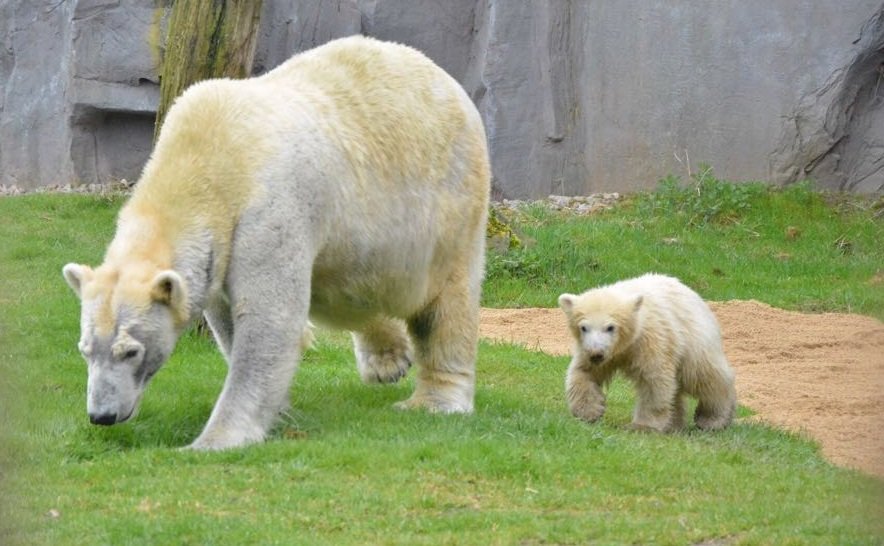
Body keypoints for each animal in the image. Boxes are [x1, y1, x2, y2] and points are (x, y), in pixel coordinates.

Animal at [62, 36, 490, 448]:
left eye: (131, 350)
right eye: (85, 349)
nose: (102, 415)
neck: (205, 158)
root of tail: (445, 80)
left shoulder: (267, 211)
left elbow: (269, 318)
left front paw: (215, 439)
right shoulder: (221, 247)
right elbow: (227, 318)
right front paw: (280, 409)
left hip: (450, 200)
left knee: (445, 302)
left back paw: (435, 401)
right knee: (355, 287)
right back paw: (387, 358)